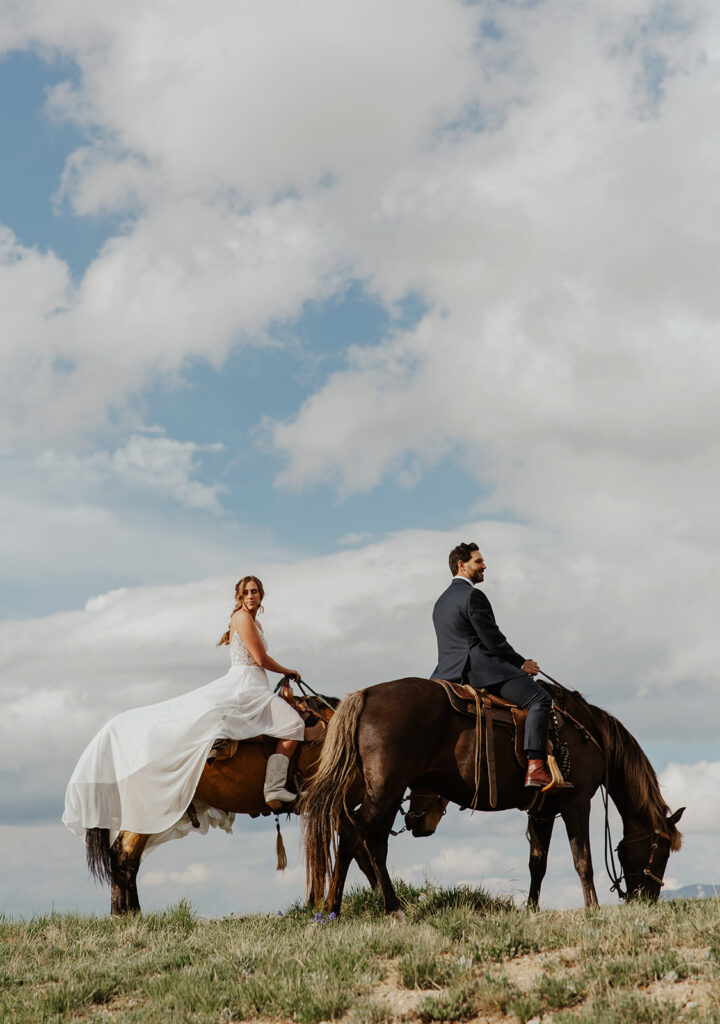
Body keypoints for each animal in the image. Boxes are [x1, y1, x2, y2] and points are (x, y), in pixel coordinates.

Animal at [303, 684, 688, 917]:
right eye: (661, 849)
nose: (648, 898)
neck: (587, 733)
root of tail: (366, 694)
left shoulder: (543, 811)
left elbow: (538, 864)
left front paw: (532, 909)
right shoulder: (576, 802)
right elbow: (583, 860)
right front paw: (592, 909)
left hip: (389, 791)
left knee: (367, 840)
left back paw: (365, 907)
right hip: (385, 790)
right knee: (356, 834)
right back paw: (358, 908)